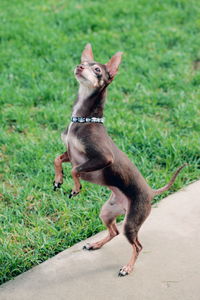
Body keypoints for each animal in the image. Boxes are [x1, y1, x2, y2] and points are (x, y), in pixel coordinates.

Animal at [53, 44, 186, 276]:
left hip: (131, 222)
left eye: (97, 69)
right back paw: (95, 244)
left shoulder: (102, 158)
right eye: (84, 62)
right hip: (107, 212)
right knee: (114, 231)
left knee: (137, 245)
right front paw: (58, 180)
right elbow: (58, 159)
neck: (83, 118)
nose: (79, 67)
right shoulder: (71, 153)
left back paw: (128, 267)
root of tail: (151, 192)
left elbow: (75, 170)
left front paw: (76, 188)